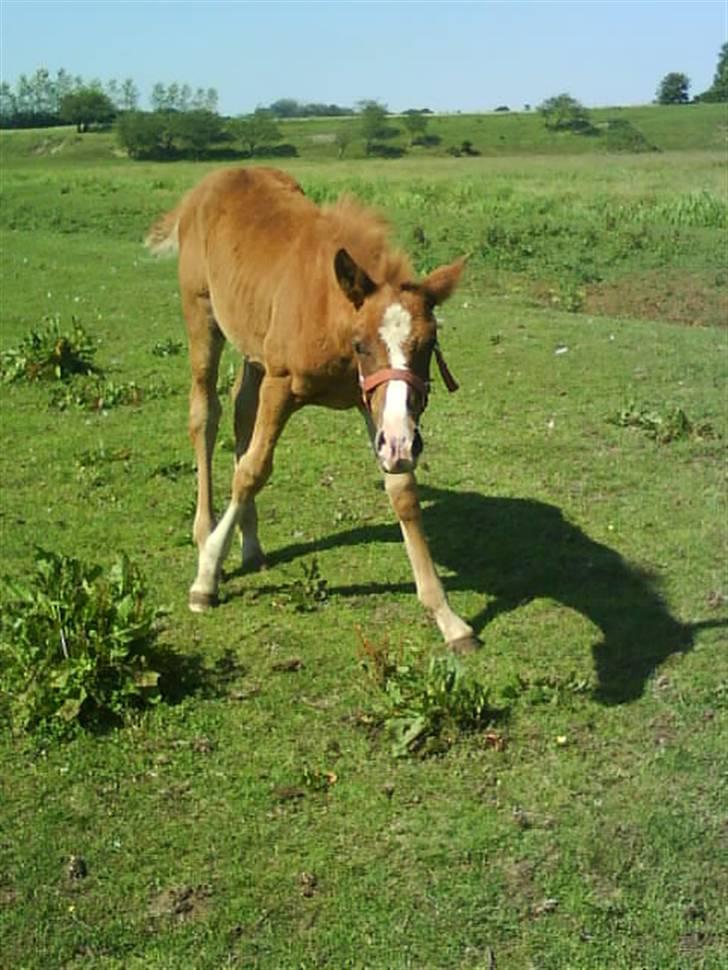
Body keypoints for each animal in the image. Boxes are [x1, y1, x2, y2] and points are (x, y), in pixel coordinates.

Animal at [146, 164, 478, 652]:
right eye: (362, 345)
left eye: (429, 343)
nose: (404, 443)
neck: (329, 310)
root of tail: (206, 185)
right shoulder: (283, 383)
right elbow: (252, 470)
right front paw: (205, 579)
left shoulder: (371, 403)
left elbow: (401, 491)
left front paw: (448, 617)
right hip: (202, 315)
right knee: (205, 415)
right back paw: (205, 533)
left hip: (254, 346)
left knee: (242, 412)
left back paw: (250, 543)